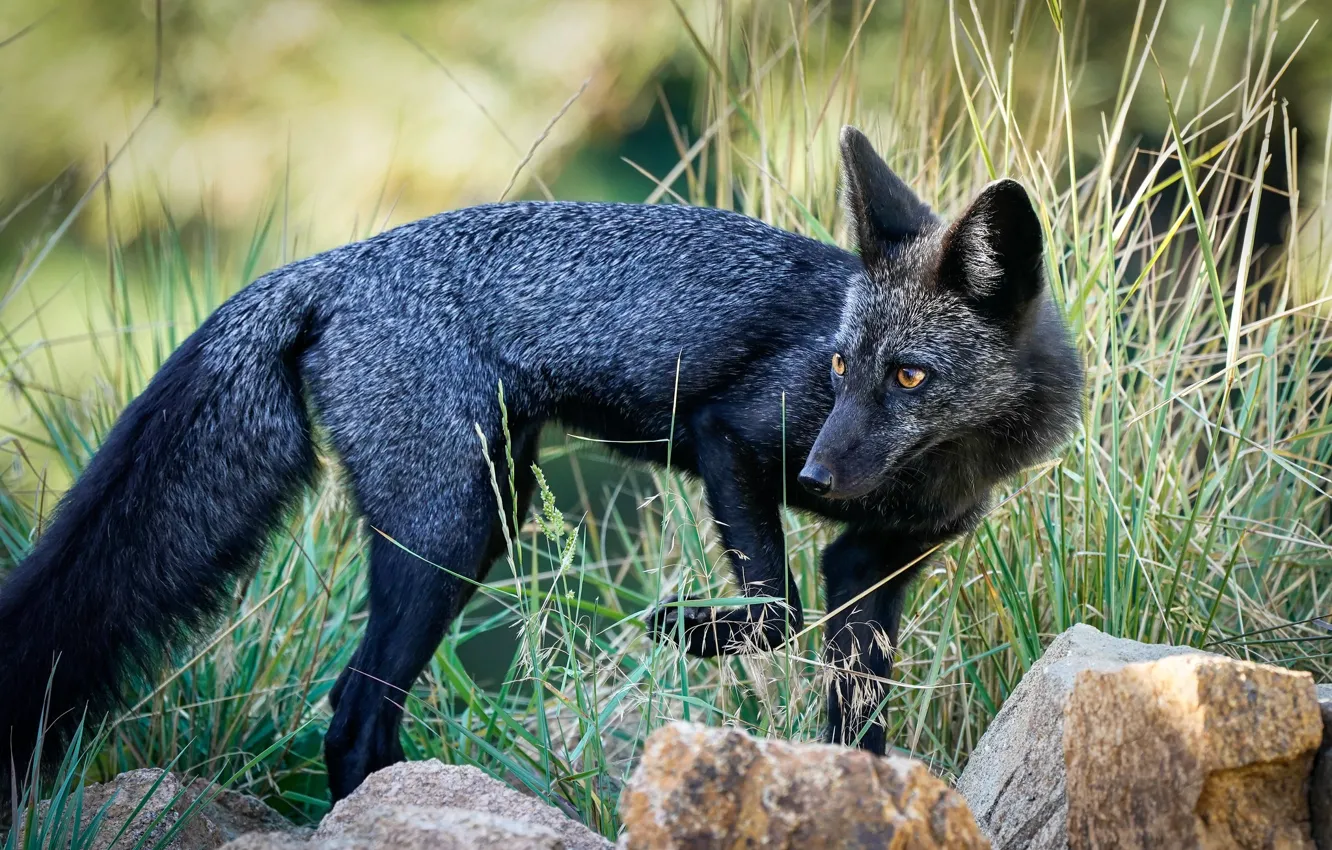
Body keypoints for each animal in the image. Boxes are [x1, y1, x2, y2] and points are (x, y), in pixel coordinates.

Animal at [0, 126, 1082, 801]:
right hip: (449, 534)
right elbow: (774, 609)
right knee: (352, 716)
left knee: (360, 717)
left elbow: (854, 719)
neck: (944, 466)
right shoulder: (730, 436)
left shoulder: (874, 562)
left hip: (487, 512)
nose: (817, 481)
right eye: (841, 366)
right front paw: (689, 629)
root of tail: (332, 263)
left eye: (909, 375)